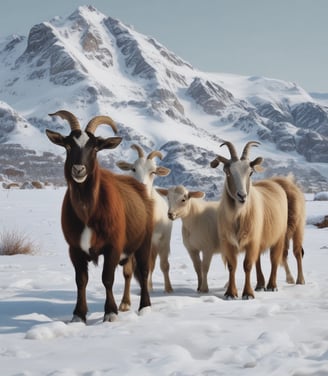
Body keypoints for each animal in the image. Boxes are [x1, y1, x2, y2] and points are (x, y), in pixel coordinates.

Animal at [46, 110, 154, 322]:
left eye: (95, 147)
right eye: (68, 145)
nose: (78, 170)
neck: (87, 212)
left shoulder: (113, 246)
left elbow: (107, 278)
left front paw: (110, 312)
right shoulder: (75, 249)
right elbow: (81, 280)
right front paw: (79, 314)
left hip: (144, 242)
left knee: (144, 271)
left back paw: (145, 307)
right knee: (129, 273)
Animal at [116, 144, 173, 294]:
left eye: (153, 172)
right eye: (133, 169)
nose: (140, 186)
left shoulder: (163, 240)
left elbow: (164, 265)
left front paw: (168, 290)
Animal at [210, 141, 288, 300]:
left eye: (251, 172)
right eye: (227, 172)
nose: (242, 196)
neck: (238, 216)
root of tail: (274, 184)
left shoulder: (252, 241)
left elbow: (247, 265)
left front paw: (247, 294)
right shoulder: (228, 242)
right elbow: (232, 266)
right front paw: (230, 293)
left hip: (279, 236)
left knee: (274, 260)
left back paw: (272, 286)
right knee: (257, 261)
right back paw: (260, 285)